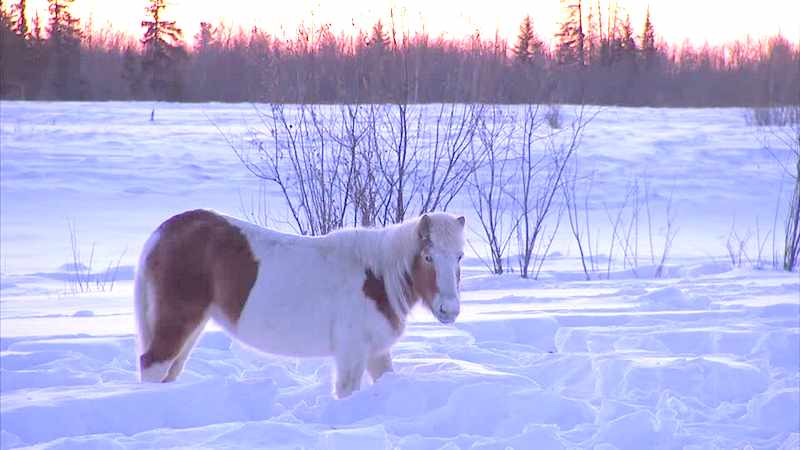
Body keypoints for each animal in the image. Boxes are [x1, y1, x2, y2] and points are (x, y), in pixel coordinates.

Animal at [134, 208, 466, 398]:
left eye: (460, 256)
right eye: (428, 257)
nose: (449, 310)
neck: (376, 277)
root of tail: (164, 232)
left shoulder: (375, 352)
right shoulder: (352, 353)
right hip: (178, 321)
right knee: (153, 366)